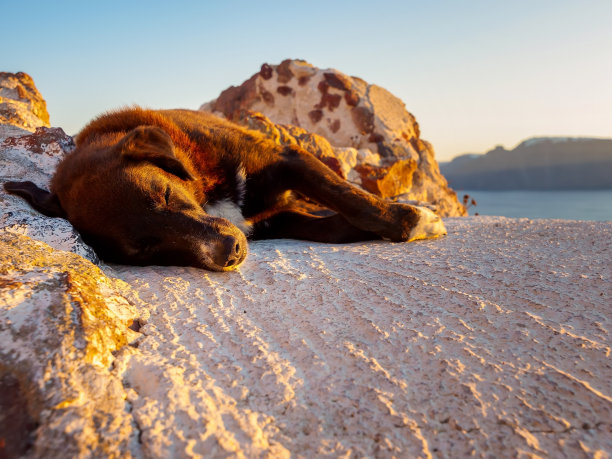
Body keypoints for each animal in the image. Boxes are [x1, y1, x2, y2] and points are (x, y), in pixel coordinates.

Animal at [3, 108, 444, 272]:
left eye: (164, 196)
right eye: (145, 249)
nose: (229, 253)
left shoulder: (289, 160)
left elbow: (350, 199)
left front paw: (414, 219)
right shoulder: (269, 221)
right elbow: (332, 225)